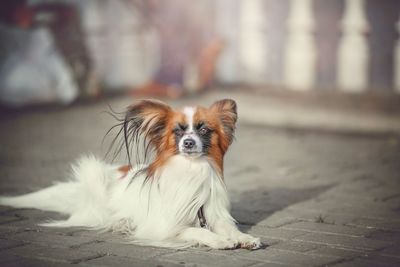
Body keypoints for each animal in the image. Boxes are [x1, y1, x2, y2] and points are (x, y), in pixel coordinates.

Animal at [0, 99, 260, 250]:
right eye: (177, 131)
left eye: (203, 129)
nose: (187, 143)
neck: (191, 169)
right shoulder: (162, 227)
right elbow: (195, 229)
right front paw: (219, 240)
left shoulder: (215, 214)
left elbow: (229, 228)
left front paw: (244, 238)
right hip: (95, 178)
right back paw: (119, 222)